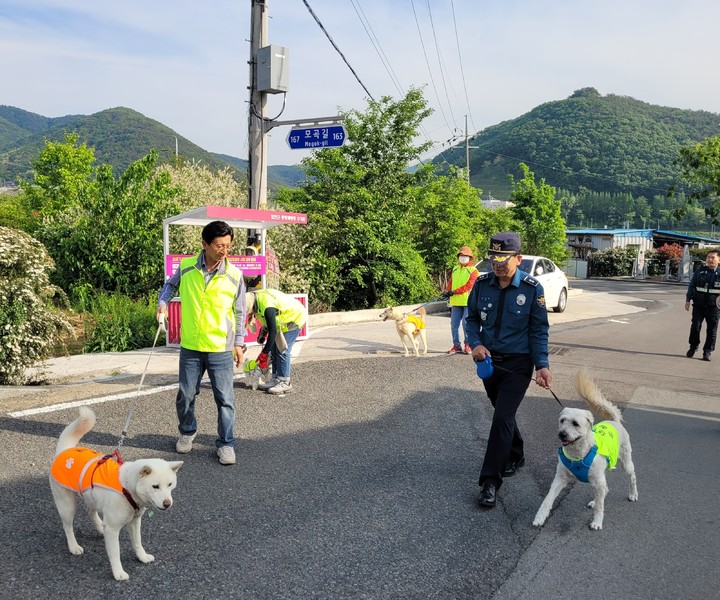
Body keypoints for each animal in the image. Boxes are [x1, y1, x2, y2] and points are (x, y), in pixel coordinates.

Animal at [48, 406, 181, 580]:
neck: (127, 487)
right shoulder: (112, 529)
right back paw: (74, 546)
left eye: (170, 484)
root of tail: (64, 450)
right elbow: (115, 553)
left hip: (91, 496)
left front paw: (142, 557)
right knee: (68, 526)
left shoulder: (134, 521)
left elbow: (137, 542)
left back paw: (99, 528)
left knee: (90, 511)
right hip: (67, 505)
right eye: (155, 486)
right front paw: (118, 573)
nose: (167, 504)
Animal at [532, 370, 640, 528]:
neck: (578, 454)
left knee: (631, 477)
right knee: (604, 490)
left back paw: (633, 494)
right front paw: (540, 517)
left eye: (575, 423)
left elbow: (601, 506)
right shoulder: (560, 479)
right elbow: (548, 499)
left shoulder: (599, 481)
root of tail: (614, 421)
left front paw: (597, 522)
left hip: (625, 463)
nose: (562, 434)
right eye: (562, 420)